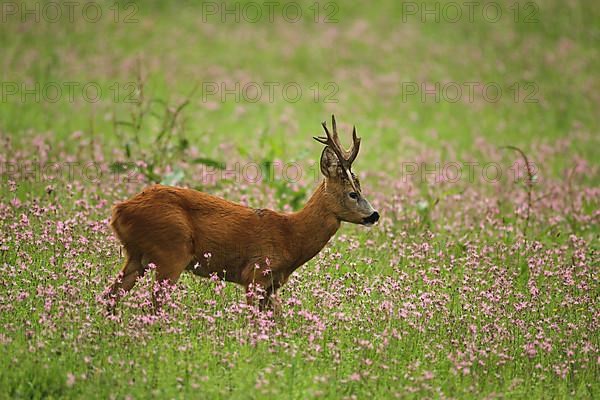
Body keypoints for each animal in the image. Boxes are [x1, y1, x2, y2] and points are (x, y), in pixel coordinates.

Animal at [105, 114, 378, 310]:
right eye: (352, 193)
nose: (374, 215)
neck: (291, 236)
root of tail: (119, 209)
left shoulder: (272, 285)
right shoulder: (255, 274)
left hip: (138, 256)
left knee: (110, 295)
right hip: (171, 251)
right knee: (153, 304)